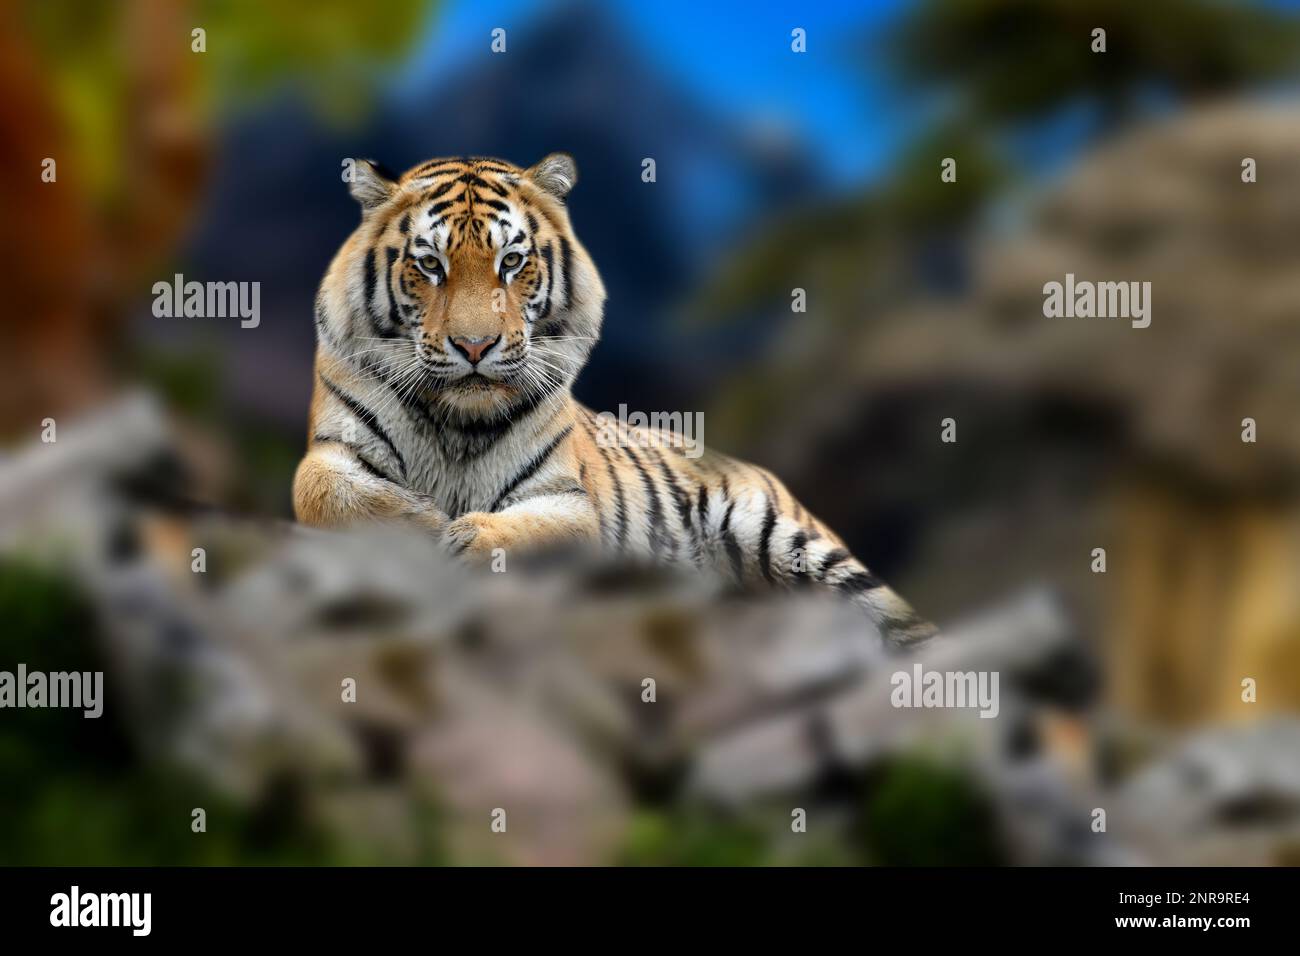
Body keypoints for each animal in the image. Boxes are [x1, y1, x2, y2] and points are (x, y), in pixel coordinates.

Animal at [293, 153, 936, 646]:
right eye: (430, 264)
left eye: (512, 262)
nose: (475, 346)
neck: (458, 421)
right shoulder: (330, 451)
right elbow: (325, 490)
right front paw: (422, 519)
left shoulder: (567, 499)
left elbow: (529, 530)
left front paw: (466, 537)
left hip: (783, 533)